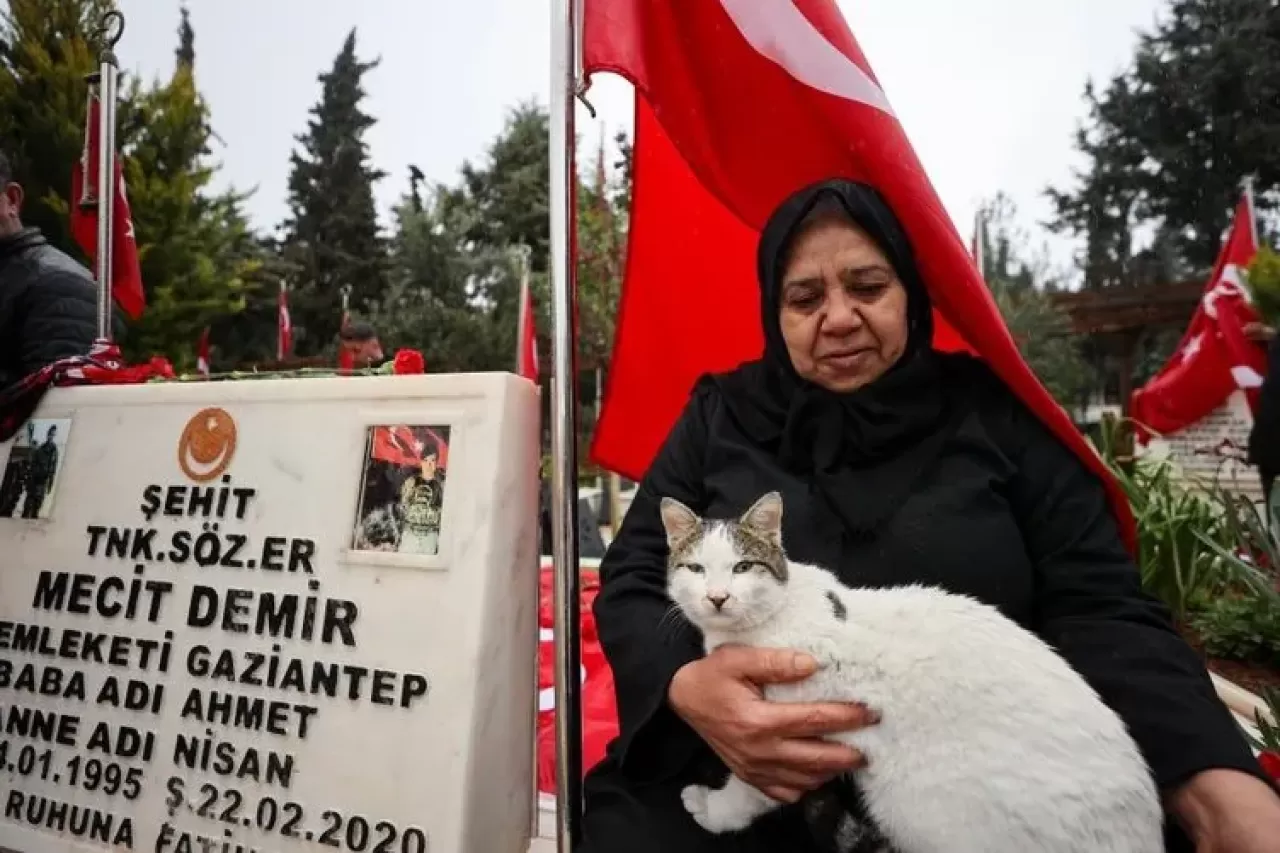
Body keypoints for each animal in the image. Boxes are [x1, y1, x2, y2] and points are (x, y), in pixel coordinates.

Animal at [665, 489, 1167, 850]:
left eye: (742, 567)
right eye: (695, 568)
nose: (717, 597)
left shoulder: (783, 737)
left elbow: (749, 790)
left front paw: (713, 809)